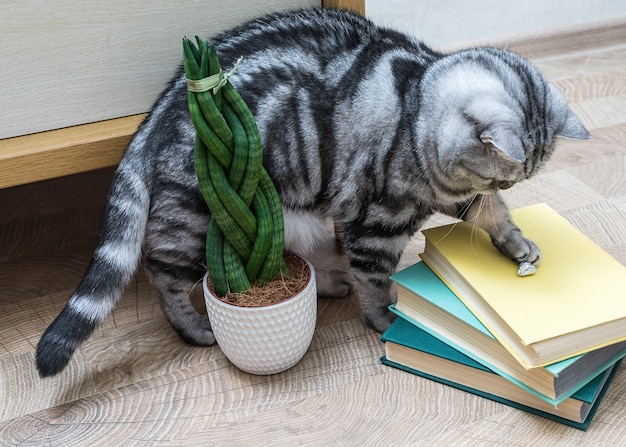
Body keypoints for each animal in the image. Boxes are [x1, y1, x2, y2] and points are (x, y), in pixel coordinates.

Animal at [36, 7, 588, 378]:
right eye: (503, 176)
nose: (507, 182)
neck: (415, 107)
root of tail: (153, 118)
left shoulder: (453, 195)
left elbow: (494, 217)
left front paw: (517, 243)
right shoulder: (379, 222)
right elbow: (377, 280)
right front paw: (385, 317)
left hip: (290, 218)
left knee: (292, 261)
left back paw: (329, 281)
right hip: (197, 222)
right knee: (162, 276)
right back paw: (195, 328)